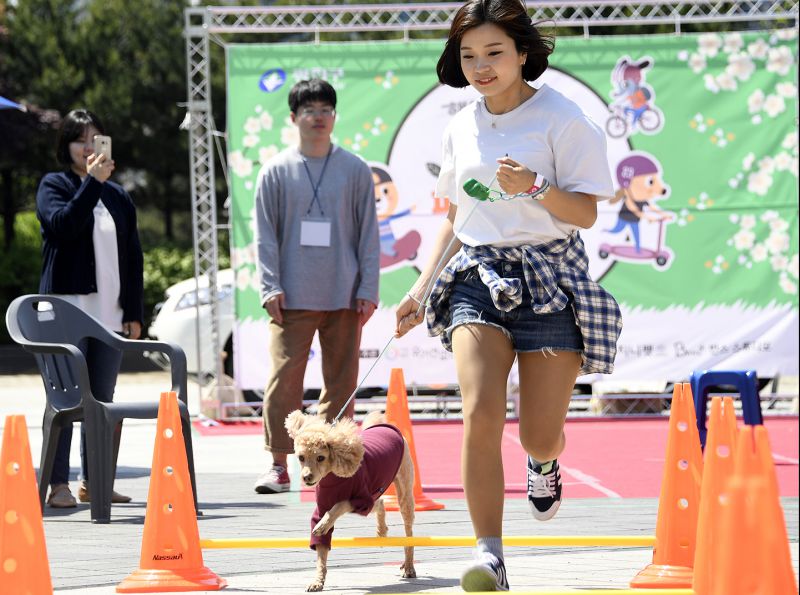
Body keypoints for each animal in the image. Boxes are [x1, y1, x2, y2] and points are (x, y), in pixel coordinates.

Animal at [284, 410, 416, 592]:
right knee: (379, 504)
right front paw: (318, 581)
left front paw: (323, 525)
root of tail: (385, 426)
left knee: (408, 532)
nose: (307, 477)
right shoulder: (324, 506)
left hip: (403, 490)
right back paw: (381, 531)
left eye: (320, 458)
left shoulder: (359, 498)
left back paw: (409, 566)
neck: (332, 476)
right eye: (301, 457)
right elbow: (321, 549)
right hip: (374, 493)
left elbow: (339, 506)